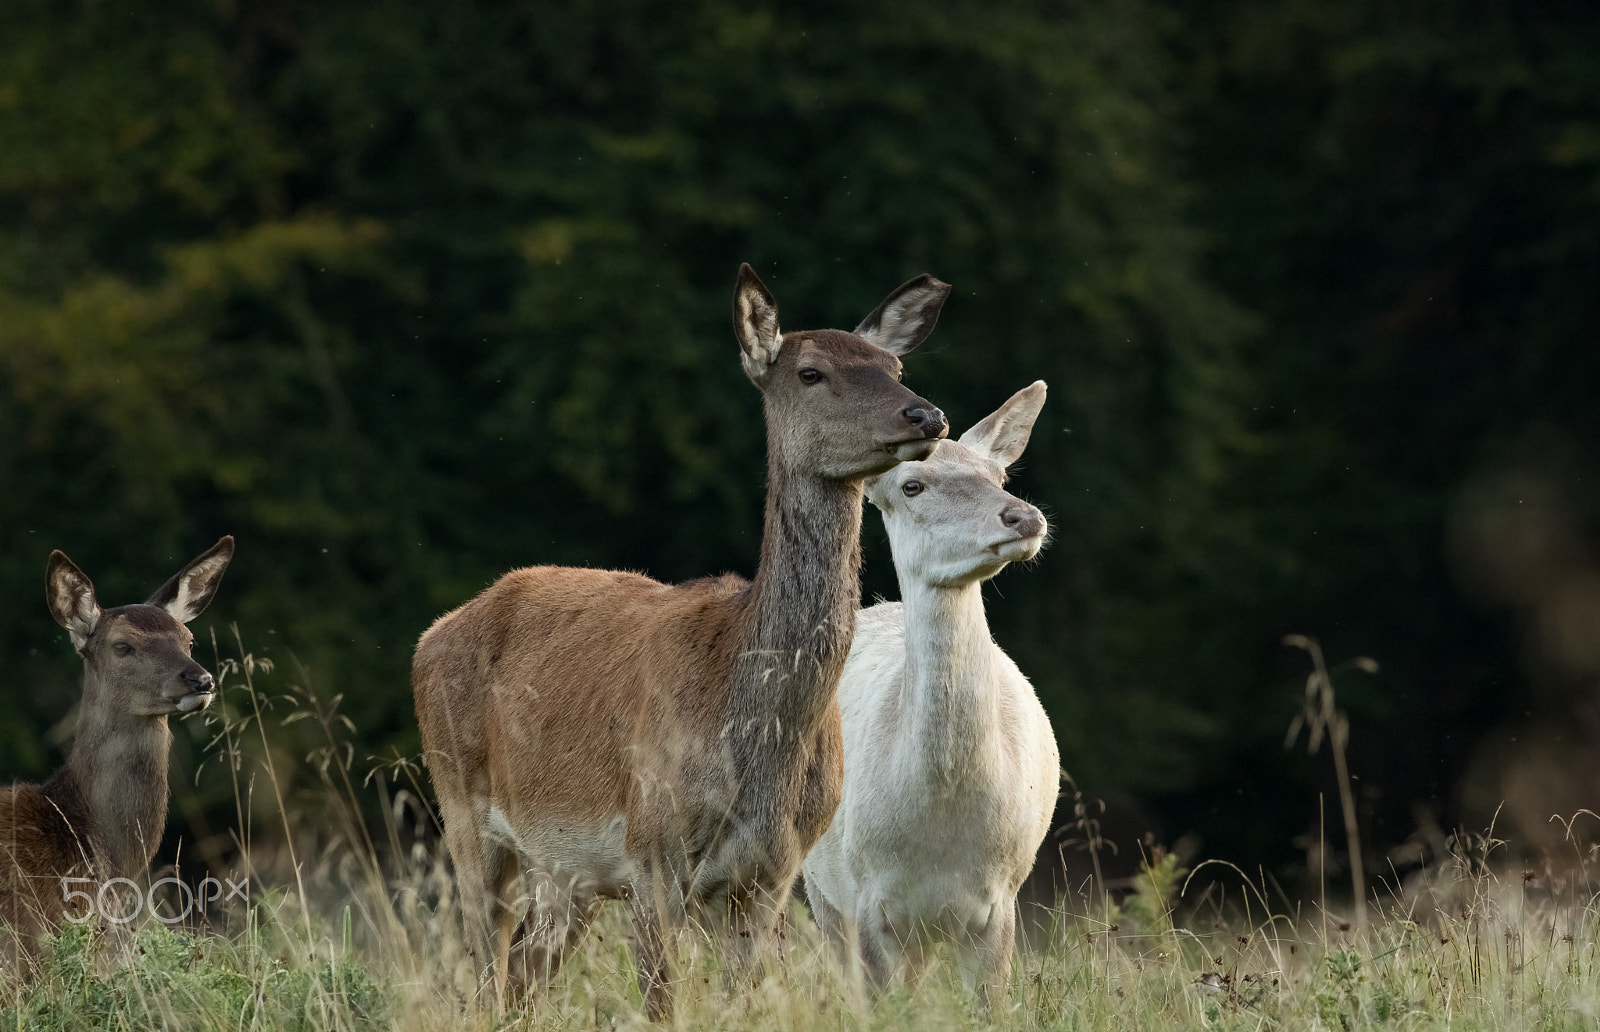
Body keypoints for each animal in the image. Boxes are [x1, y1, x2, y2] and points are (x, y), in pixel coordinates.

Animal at [416, 264, 947, 1011]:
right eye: (811, 372)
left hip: (566, 873)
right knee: (484, 975)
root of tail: (431, 635)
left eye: (894, 367)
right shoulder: (651, 848)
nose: (925, 415)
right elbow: (663, 1005)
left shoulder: (773, 873)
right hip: (462, 808)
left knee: (523, 972)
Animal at [800, 380, 1062, 998]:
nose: (1024, 517)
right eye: (912, 485)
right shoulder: (865, 893)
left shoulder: (1002, 901)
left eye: (999, 476)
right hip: (817, 884)